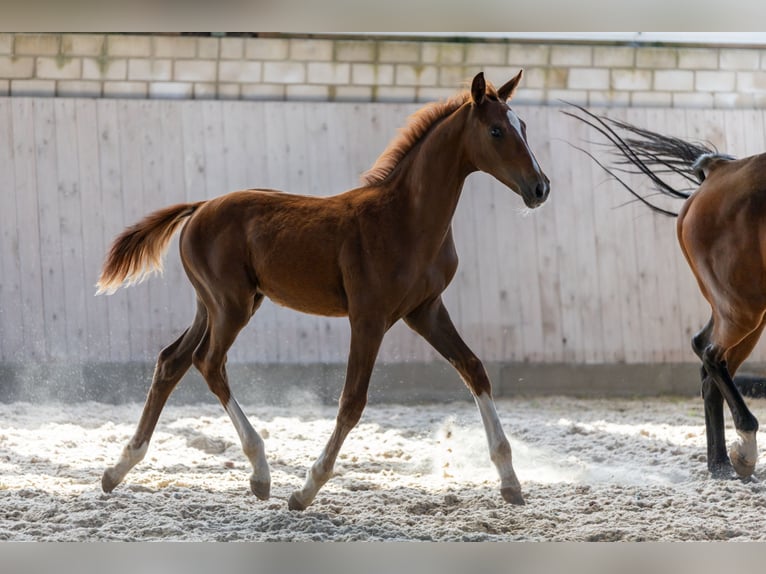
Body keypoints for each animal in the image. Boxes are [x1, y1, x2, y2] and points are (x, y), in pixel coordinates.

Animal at [97, 73, 552, 512]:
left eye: (525, 127)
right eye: (496, 130)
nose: (540, 187)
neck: (405, 219)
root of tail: (199, 207)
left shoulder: (426, 310)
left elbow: (474, 369)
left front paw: (511, 483)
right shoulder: (369, 317)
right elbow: (352, 401)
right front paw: (306, 490)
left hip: (214, 305)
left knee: (171, 361)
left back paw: (118, 469)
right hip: (231, 305)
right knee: (208, 363)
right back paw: (260, 473)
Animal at [564, 107, 760, 482]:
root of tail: (718, 171)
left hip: (744, 306)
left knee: (707, 357)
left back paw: (721, 463)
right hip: (743, 306)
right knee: (712, 355)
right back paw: (742, 451)